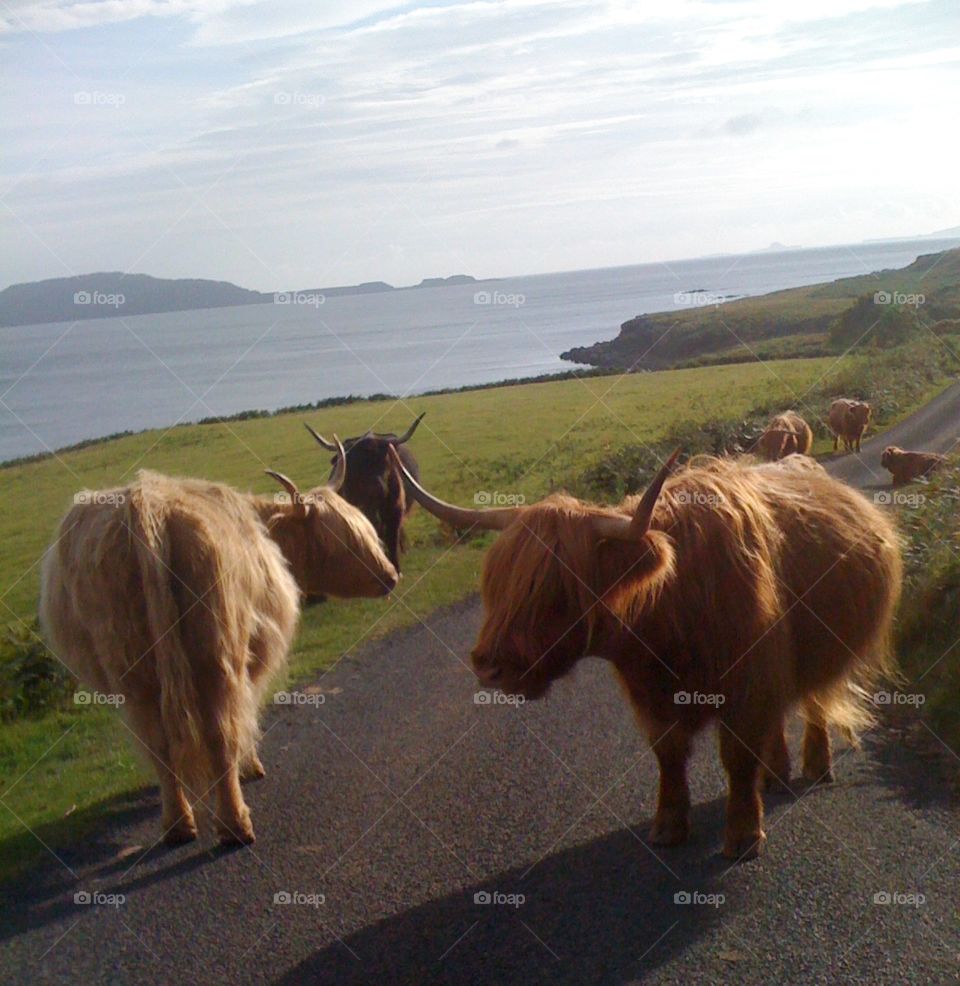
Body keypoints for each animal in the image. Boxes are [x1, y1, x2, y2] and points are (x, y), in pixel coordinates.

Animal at [39, 445, 398, 847]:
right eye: (344, 540)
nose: (391, 576)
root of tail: (146, 509)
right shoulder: (253, 656)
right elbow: (247, 710)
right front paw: (251, 765)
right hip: (218, 657)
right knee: (219, 731)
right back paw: (234, 824)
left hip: (132, 673)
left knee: (157, 740)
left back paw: (178, 823)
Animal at [392, 448, 901, 860]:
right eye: (495, 581)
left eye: (558, 588)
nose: (489, 665)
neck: (670, 602)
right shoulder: (652, 694)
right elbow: (669, 756)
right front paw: (669, 827)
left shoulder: (744, 684)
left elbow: (736, 758)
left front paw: (743, 837)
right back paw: (775, 774)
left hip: (824, 650)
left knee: (816, 702)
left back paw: (815, 766)